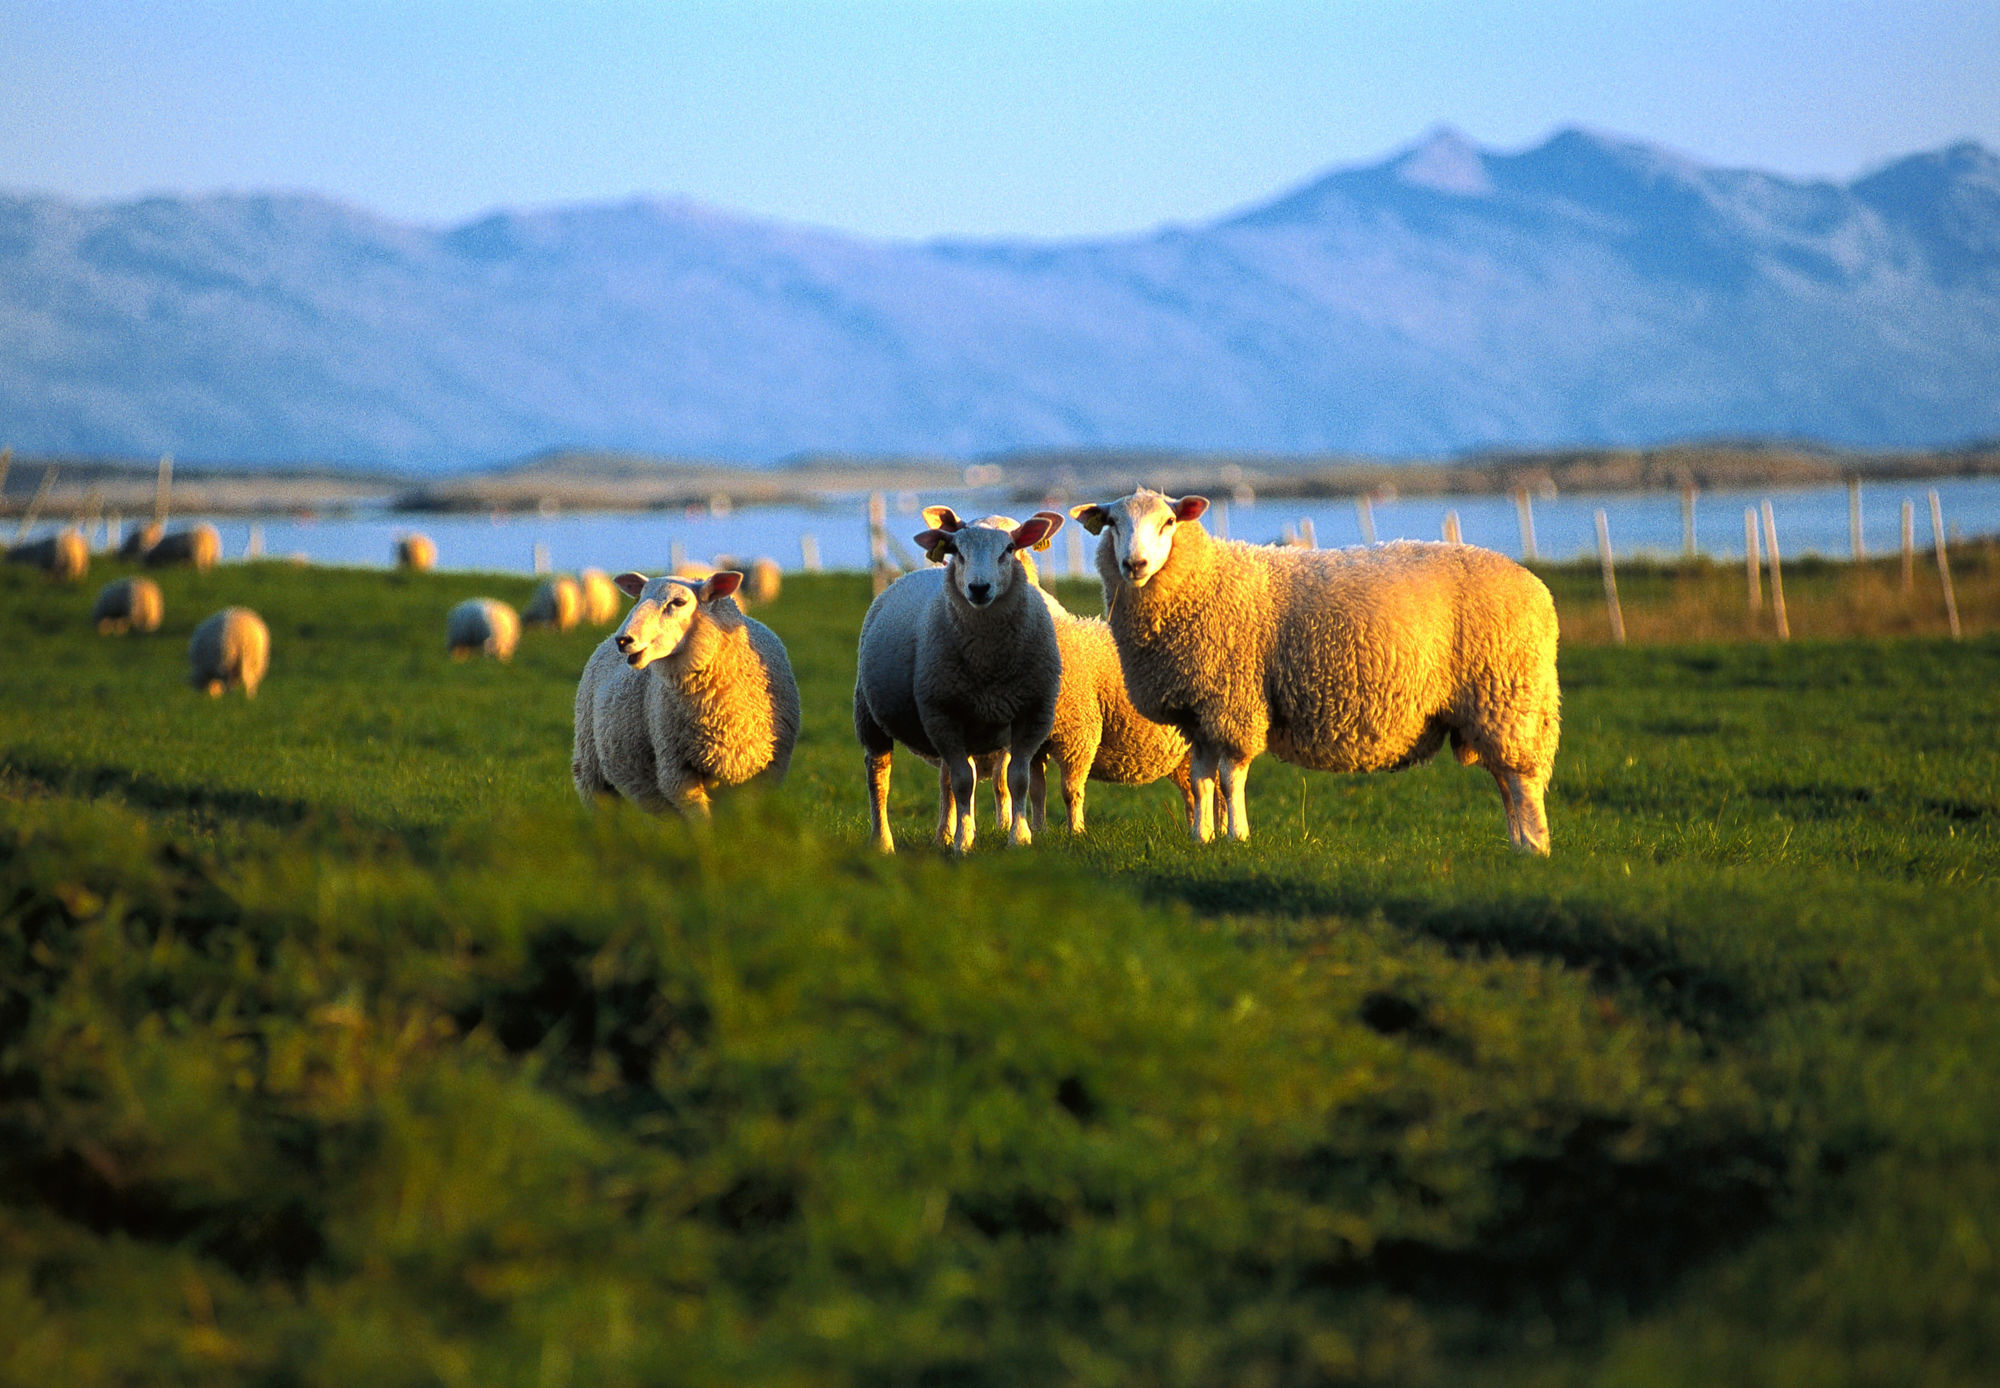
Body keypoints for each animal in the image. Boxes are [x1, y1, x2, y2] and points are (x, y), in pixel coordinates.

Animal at [572, 570, 800, 817]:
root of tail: (602, 641)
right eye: (638, 599)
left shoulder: (766, 771)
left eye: (678, 602)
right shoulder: (677, 771)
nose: (623, 639)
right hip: (592, 772)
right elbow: (702, 822)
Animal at [852, 511, 1063, 854]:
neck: (989, 662)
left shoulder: (1032, 713)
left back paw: (944, 834)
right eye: (958, 552)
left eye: (1009, 548)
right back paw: (883, 841)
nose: (978, 588)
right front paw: (964, 842)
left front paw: (1019, 837)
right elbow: (964, 782)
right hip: (869, 714)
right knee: (878, 776)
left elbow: (1017, 779)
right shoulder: (943, 715)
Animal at [1070, 488, 1561, 854]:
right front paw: (1200, 838)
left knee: (1522, 779)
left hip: (1506, 694)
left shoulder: (1234, 703)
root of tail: (1537, 589)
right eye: (1113, 523)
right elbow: (1201, 779)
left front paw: (1237, 837)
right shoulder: (1200, 711)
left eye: (1169, 523)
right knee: (1505, 779)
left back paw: (1535, 848)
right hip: (1489, 709)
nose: (1134, 565)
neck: (1201, 582)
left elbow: (1230, 777)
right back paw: (1517, 846)